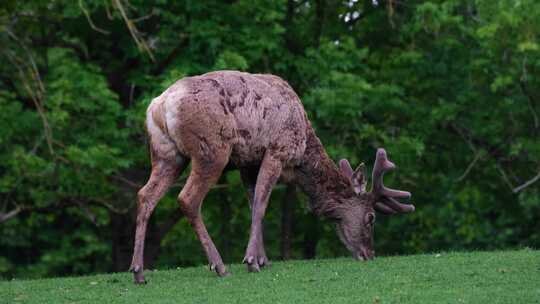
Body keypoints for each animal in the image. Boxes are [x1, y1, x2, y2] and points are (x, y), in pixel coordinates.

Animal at [129, 70, 416, 284]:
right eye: (371, 217)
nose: (369, 254)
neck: (302, 154)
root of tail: (160, 106)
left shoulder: (247, 162)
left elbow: (252, 202)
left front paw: (262, 259)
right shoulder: (277, 150)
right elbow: (261, 204)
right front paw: (252, 262)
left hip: (167, 154)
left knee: (145, 195)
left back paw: (138, 272)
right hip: (212, 150)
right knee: (187, 198)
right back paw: (219, 266)